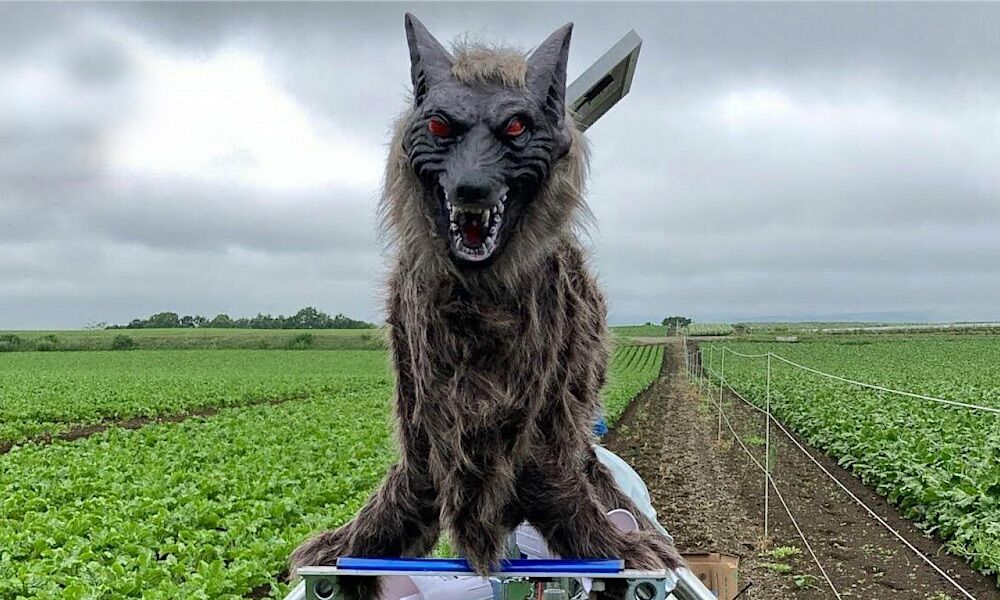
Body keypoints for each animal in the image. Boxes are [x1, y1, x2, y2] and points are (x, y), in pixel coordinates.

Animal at [290, 14, 683, 597]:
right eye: (439, 127)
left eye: (516, 128)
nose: (472, 187)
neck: (478, 299)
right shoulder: (422, 415)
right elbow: (401, 500)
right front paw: (349, 544)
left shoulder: (544, 420)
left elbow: (562, 486)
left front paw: (621, 546)